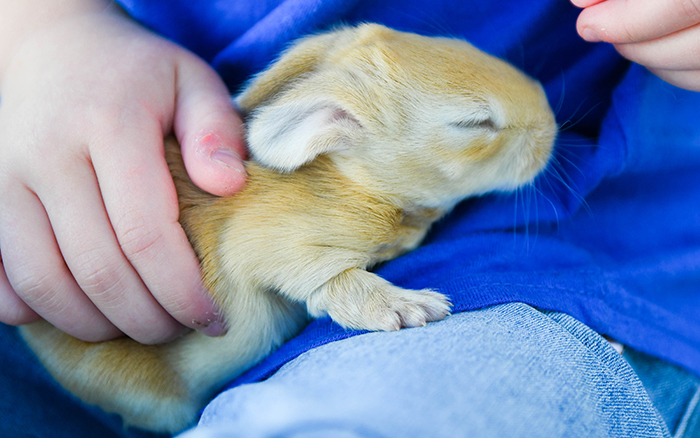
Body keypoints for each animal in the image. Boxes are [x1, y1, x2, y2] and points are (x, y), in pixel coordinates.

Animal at [19, 23, 556, 432]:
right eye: (475, 123)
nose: (550, 127)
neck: (356, 182)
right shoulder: (274, 248)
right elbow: (331, 280)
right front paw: (411, 307)